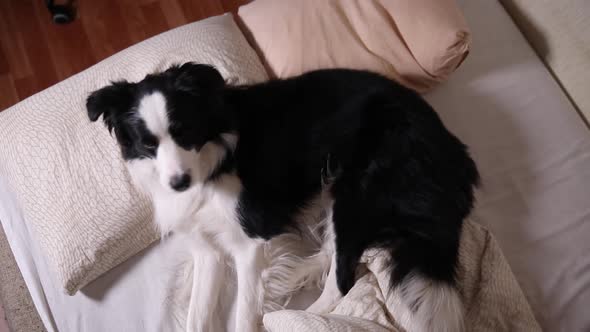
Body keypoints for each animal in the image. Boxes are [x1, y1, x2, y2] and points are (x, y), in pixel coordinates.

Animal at [86, 63, 480, 332]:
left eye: (186, 133)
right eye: (148, 144)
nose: (179, 183)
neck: (211, 164)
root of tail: (455, 154)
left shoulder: (248, 239)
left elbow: (244, 314)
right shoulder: (207, 249)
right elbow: (198, 317)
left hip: (355, 192)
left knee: (343, 280)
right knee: (334, 252)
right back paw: (289, 276)